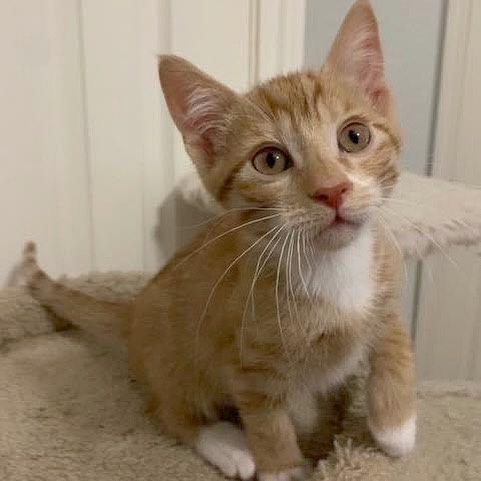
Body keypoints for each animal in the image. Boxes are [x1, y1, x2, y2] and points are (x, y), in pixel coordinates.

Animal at [21, 1, 412, 478]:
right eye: (270, 161)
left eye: (355, 136)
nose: (332, 189)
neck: (332, 267)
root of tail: (133, 311)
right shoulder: (245, 366)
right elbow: (269, 426)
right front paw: (283, 467)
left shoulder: (386, 277)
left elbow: (394, 339)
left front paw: (396, 428)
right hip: (177, 365)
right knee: (170, 412)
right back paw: (228, 445)